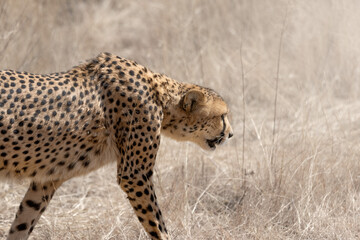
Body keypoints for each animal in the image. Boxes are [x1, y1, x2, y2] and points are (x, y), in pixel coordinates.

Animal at [0, 53, 233, 240]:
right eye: (222, 116)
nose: (231, 134)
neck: (160, 95)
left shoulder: (46, 180)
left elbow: (24, 221)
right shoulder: (135, 175)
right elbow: (157, 223)